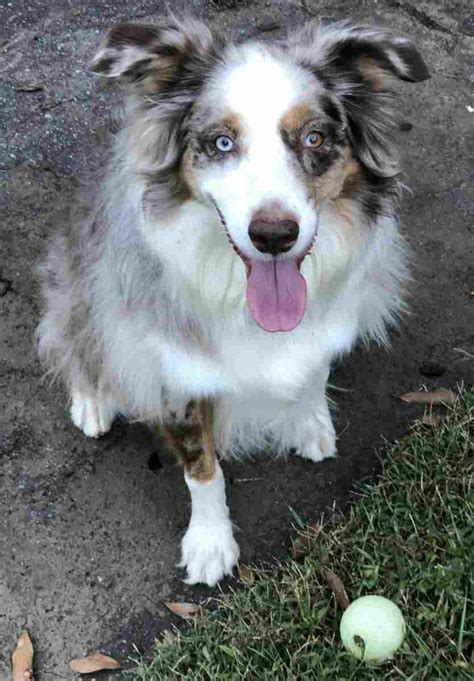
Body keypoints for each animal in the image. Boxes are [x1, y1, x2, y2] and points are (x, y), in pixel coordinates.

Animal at [37, 17, 430, 584]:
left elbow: (315, 369)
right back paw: (93, 399)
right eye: (222, 143)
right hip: (79, 274)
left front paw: (310, 420)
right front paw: (209, 544)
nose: (274, 235)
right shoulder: (176, 371)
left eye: (314, 138)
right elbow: (202, 469)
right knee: (72, 335)